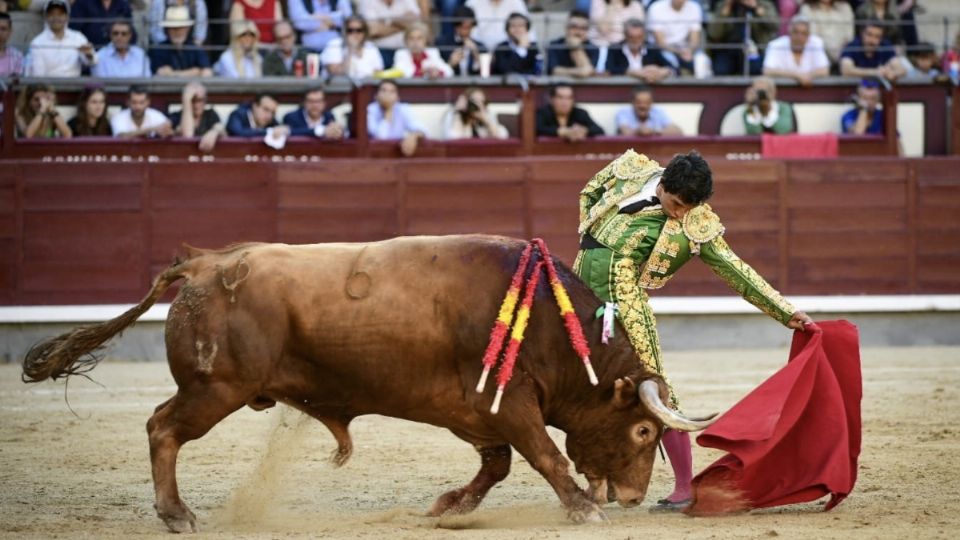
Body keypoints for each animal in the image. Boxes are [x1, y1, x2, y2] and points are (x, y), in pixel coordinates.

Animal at [22, 235, 716, 532]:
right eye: (644, 429)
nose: (633, 497)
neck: (547, 320)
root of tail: (203, 263)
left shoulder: (477, 412)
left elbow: (495, 466)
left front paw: (449, 507)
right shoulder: (512, 403)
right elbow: (544, 455)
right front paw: (582, 507)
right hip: (214, 389)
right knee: (162, 427)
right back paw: (177, 514)